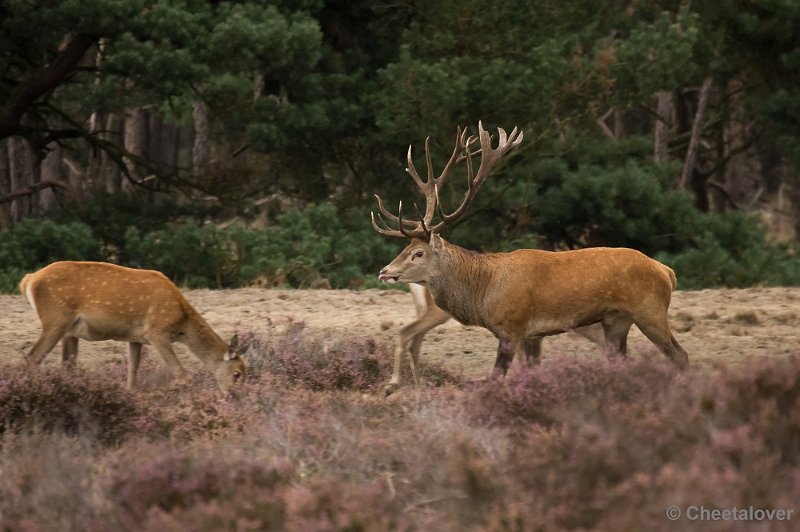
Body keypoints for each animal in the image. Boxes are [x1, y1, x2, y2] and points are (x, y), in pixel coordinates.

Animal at [21, 260, 247, 390]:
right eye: (237, 374)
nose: (236, 398)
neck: (182, 323)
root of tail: (29, 279)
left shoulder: (135, 338)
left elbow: (132, 374)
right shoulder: (156, 332)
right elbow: (182, 374)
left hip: (69, 330)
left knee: (66, 365)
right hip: (55, 318)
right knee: (32, 357)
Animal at [372, 121, 692, 378]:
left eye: (418, 253)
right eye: (406, 247)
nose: (384, 271)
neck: (484, 291)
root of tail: (667, 271)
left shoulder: (513, 327)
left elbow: (497, 377)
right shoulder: (532, 335)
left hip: (650, 311)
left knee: (681, 355)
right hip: (616, 320)